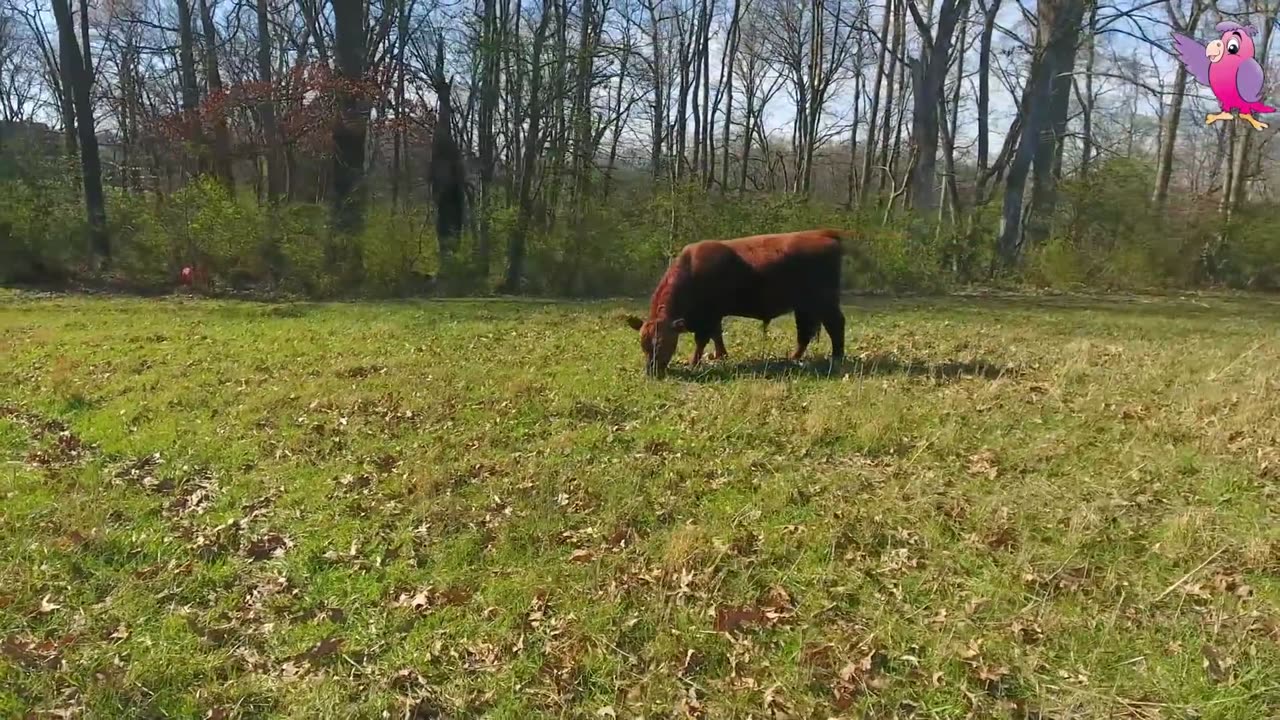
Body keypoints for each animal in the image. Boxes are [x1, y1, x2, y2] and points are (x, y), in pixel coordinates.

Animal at [622, 228, 844, 376]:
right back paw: (794, 358)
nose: (651, 371)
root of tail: (822, 234)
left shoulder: (708, 316)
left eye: (664, 343)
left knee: (836, 324)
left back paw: (837, 357)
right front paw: (720, 355)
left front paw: (695, 361)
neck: (691, 271)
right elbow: (717, 336)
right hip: (805, 307)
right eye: (643, 344)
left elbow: (702, 340)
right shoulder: (713, 317)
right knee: (805, 333)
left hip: (825, 302)